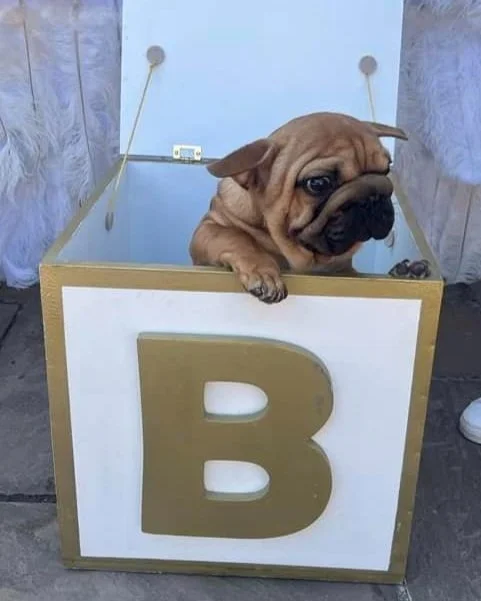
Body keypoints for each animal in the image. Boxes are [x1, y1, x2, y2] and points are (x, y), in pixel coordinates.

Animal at [189, 112, 408, 303]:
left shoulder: (344, 269)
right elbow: (234, 236)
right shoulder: (208, 228)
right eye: (318, 183)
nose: (372, 196)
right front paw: (264, 271)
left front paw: (404, 270)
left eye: (386, 169)